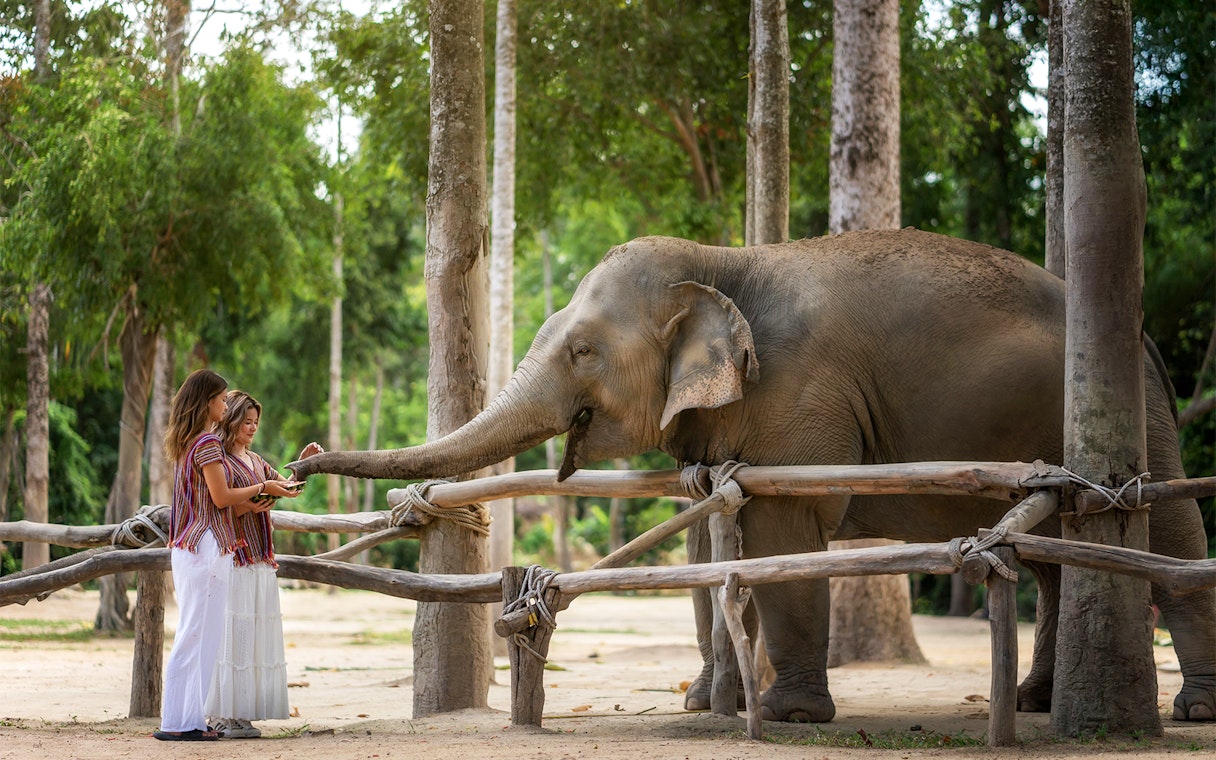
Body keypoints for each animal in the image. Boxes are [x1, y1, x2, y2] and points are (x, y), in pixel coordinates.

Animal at [290, 228, 1215, 723]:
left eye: (582, 350)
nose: (300, 457)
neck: (725, 260)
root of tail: (1146, 339)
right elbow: (709, 534)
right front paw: (705, 705)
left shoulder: (801, 396)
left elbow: (786, 531)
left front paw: (784, 716)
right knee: (1059, 550)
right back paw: (1031, 703)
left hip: (1133, 415)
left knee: (1167, 533)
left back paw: (1190, 710)